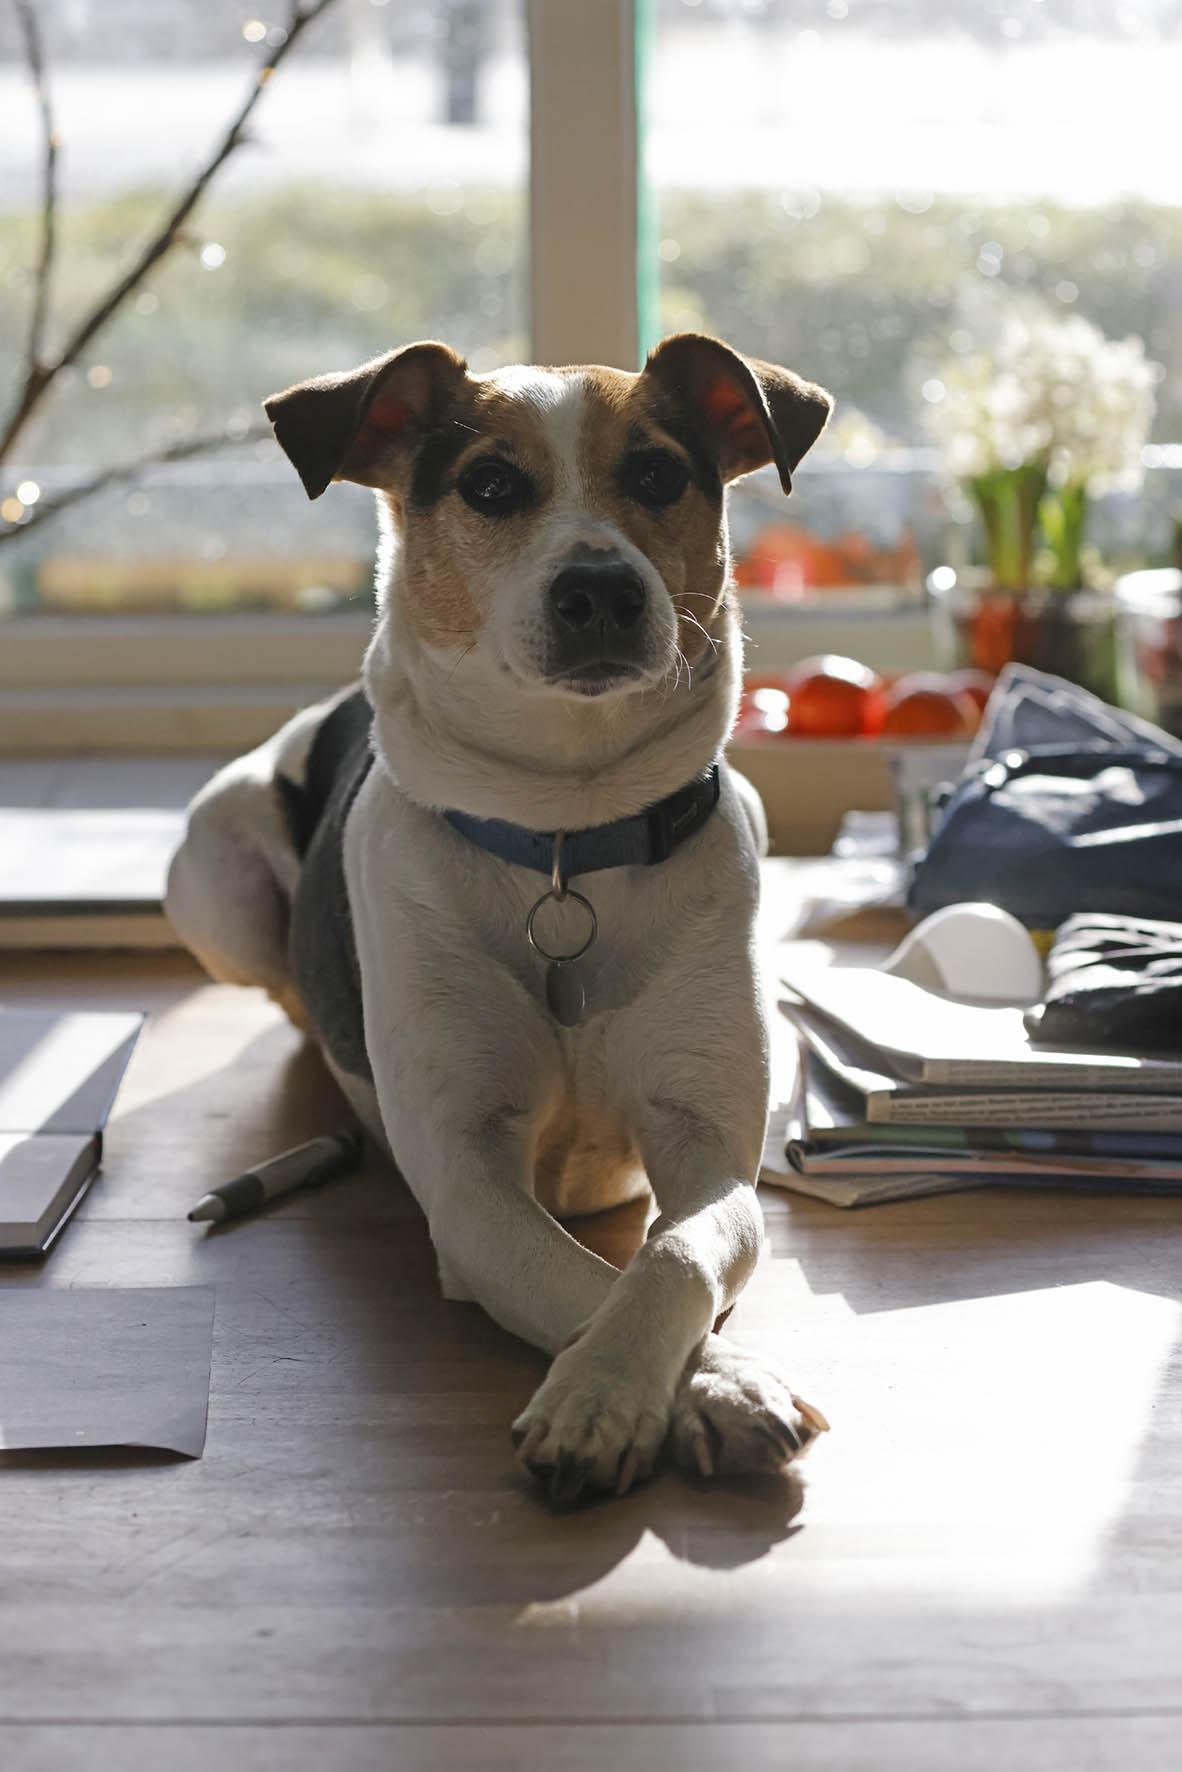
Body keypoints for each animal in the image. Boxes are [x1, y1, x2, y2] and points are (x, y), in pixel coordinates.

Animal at [166, 329, 836, 1495]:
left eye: (656, 473)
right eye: (489, 485)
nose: (600, 590)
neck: (565, 836)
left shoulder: (709, 1147)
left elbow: (671, 1256)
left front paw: (679, 1383)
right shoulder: (469, 1186)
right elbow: (584, 1286)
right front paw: (623, 1392)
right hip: (214, 867)